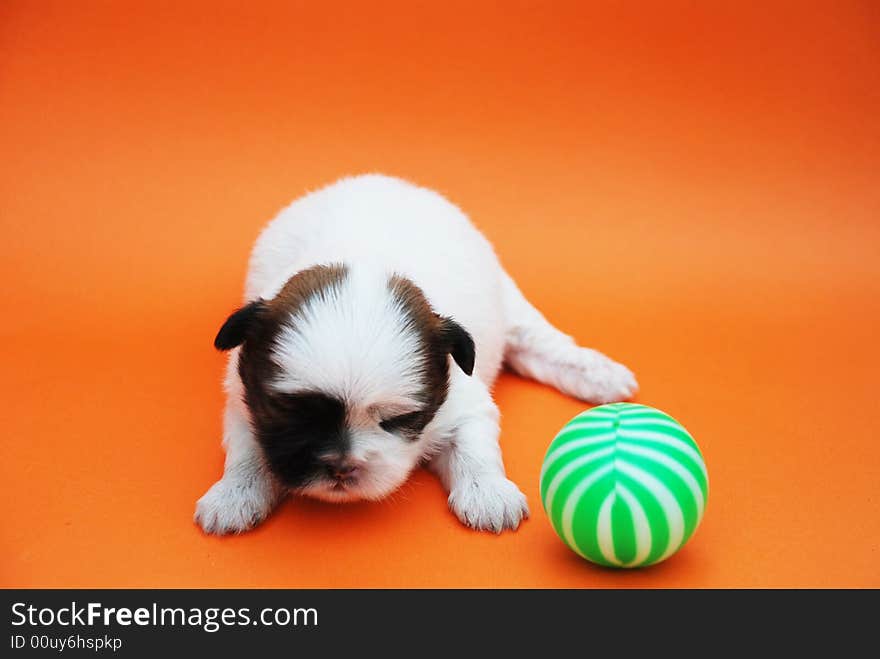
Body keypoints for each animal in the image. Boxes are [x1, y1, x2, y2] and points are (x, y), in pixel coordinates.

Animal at [194, 175, 632, 536]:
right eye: (292, 413)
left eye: (398, 419)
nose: (342, 466)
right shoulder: (242, 403)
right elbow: (247, 451)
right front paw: (233, 494)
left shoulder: (465, 402)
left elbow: (475, 447)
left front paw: (489, 494)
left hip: (510, 303)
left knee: (542, 343)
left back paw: (600, 375)